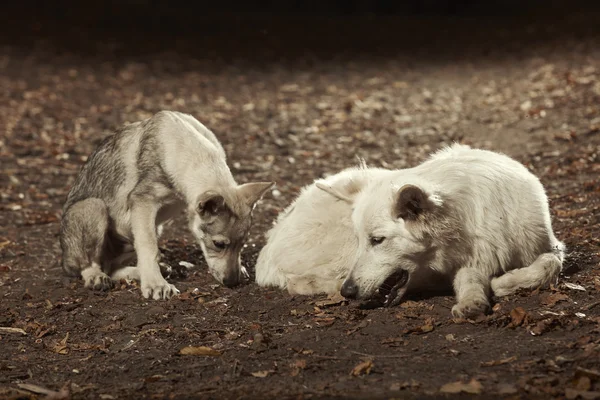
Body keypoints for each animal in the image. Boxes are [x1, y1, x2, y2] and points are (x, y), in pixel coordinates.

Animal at [59, 111, 274, 298]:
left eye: (243, 244)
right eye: (219, 244)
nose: (233, 282)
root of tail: (64, 260)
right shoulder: (143, 202)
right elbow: (150, 249)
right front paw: (156, 285)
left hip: (150, 230)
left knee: (112, 267)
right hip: (94, 208)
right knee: (90, 266)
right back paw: (96, 276)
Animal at [255, 145, 564, 318]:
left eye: (377, 240)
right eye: (361, 240)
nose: (348, 291)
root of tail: (267, 246)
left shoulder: (546, 244)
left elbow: (549, 263)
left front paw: (501, 285)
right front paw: (480, 297)